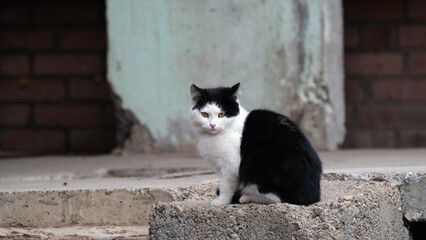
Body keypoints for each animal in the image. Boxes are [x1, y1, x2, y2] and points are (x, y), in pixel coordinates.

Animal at [190, 83, 322, 206]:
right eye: (205, 114)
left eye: (221, 115)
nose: (212, 125)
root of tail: (313, 196)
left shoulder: (231, 166)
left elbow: (226, 185)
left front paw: (222, 201)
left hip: (259, 166)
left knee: (277, 198)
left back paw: (246, 197)